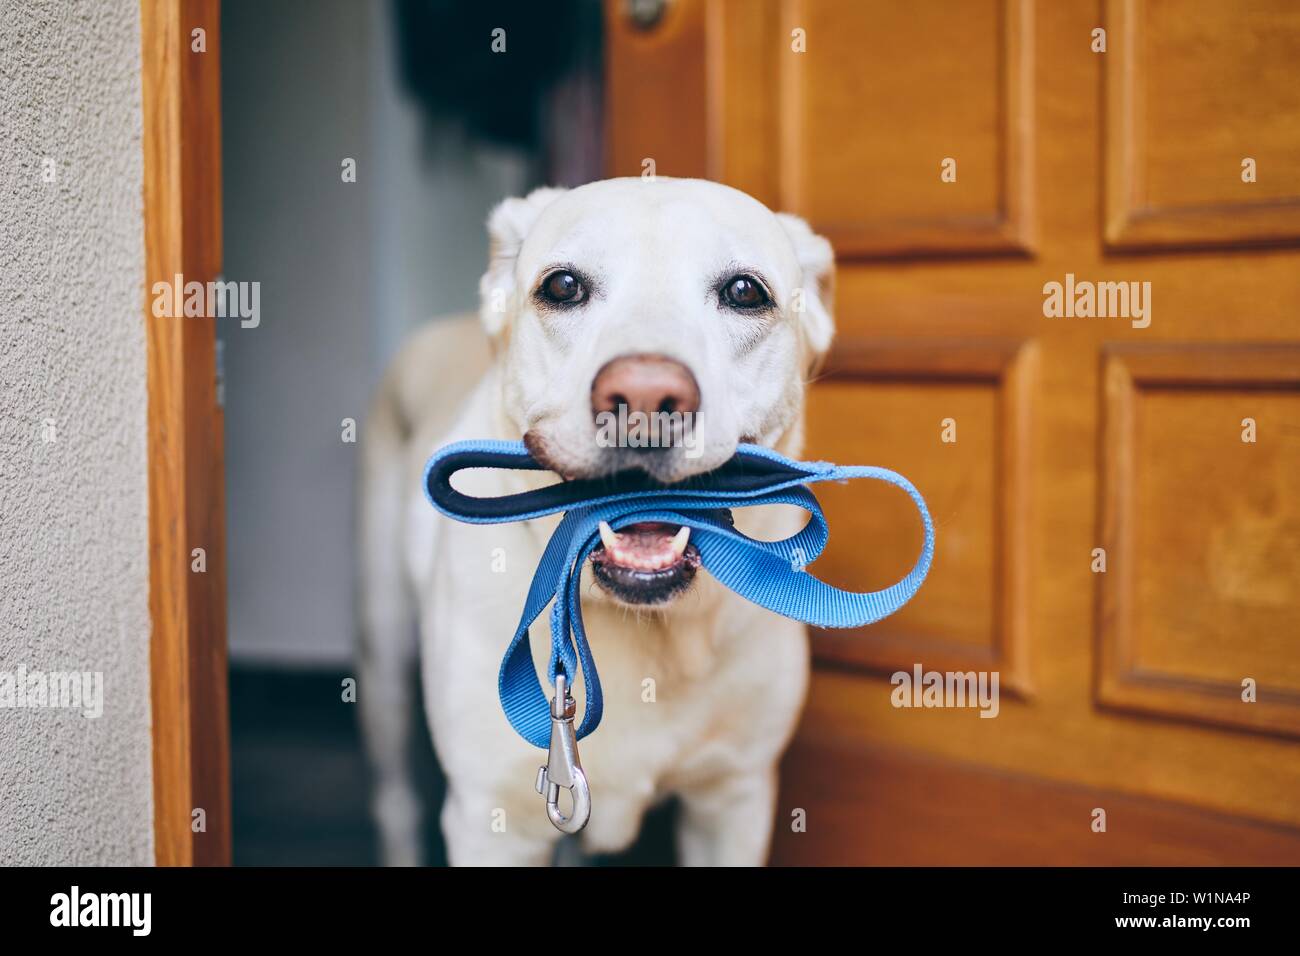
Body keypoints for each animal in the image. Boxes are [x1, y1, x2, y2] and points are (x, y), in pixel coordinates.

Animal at [361, 174, 837, 868]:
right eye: (563, 286)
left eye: (745, 292)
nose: (644, 397)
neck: (643, 627)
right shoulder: (491, 822)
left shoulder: (733, 800)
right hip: (383, 666)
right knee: (394, 800)